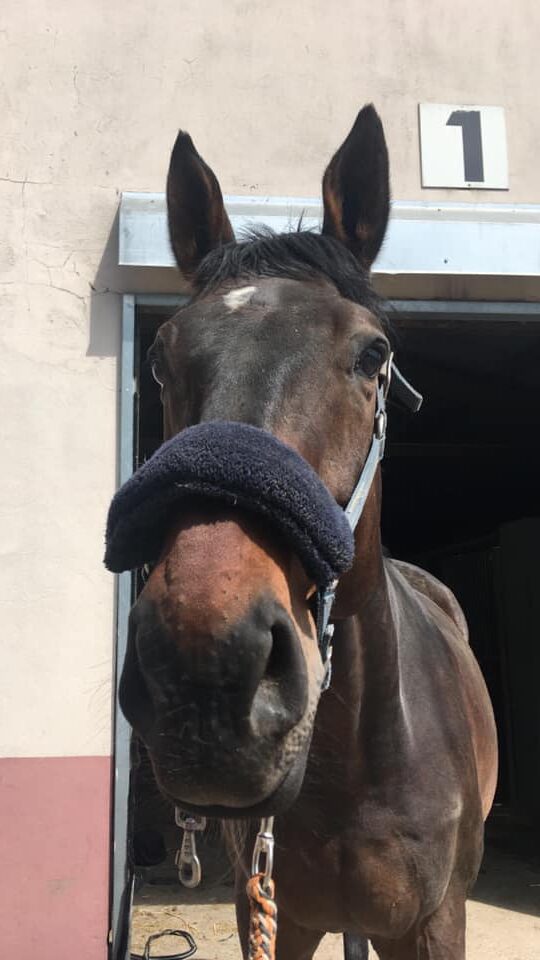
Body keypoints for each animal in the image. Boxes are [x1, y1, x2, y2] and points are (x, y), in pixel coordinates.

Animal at [113, 107, 498, 960]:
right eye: (158, 358)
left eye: (373, 353)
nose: (207, 665)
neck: (355, 763)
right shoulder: (273, 914)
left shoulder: (435, 924)